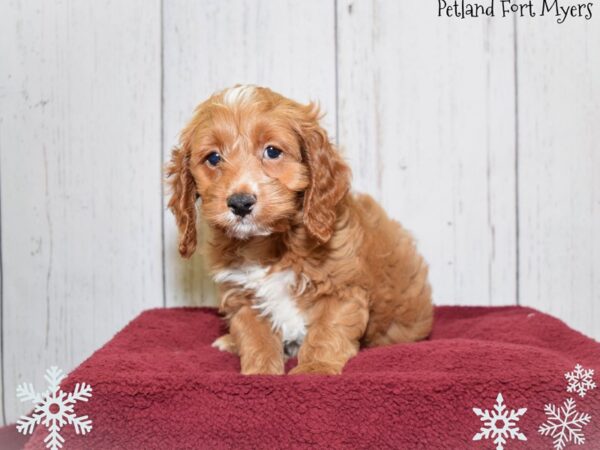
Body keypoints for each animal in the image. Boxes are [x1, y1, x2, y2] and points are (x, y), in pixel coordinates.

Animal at [166, 86, 434, 374]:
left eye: (272, 151)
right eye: (214, 158)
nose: (240, 203)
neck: (267, 243)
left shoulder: (342, 288)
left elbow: (327, 331)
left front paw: (315, 368)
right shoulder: (243, 297)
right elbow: (255, 338)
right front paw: (259, 373)